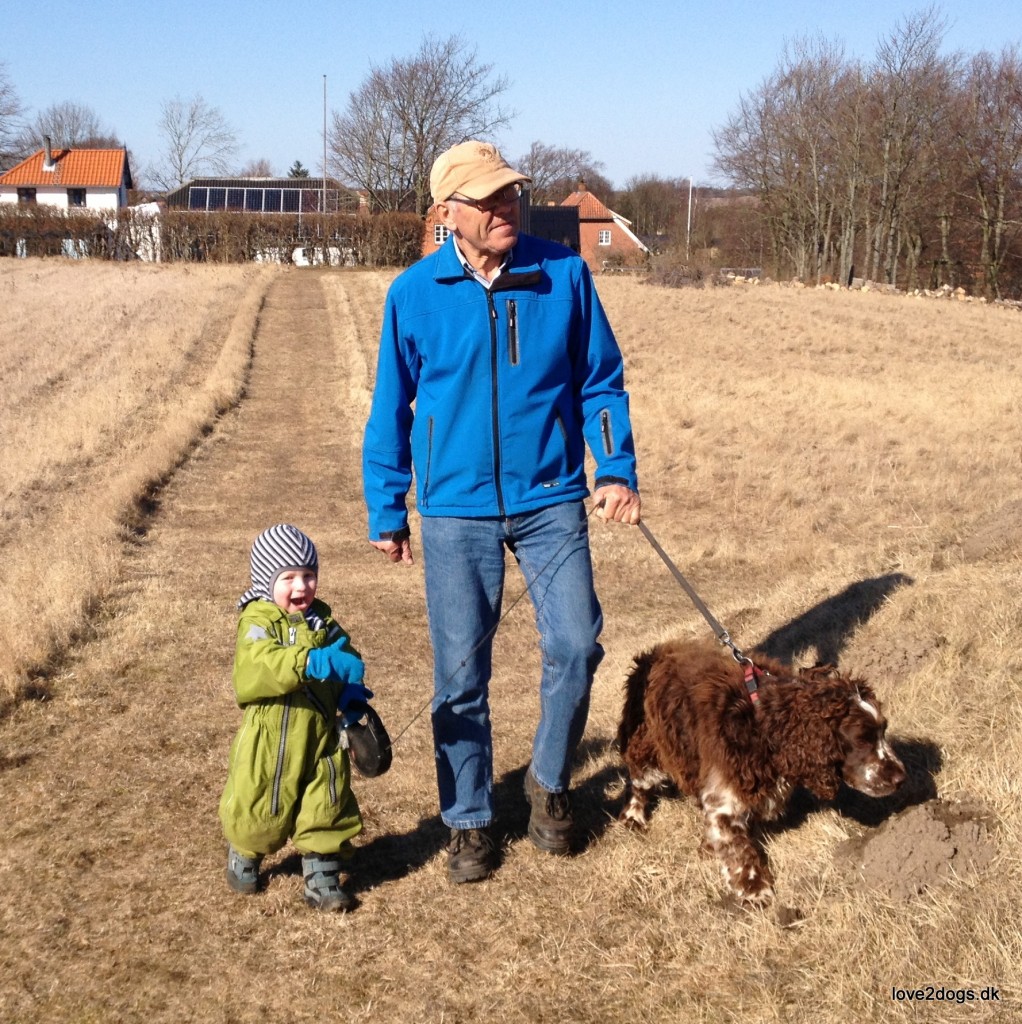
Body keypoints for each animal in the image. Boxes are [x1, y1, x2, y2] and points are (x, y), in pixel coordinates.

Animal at [614, 638, 905, 905]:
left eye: (884, 730)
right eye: (862, 740)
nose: (901, 777)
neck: (763, 722)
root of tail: (650, 655)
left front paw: (710, 847)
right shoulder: (724, 796)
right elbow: (738, 847)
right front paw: (754, 888)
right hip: (646, 746)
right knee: (638, 781)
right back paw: (633, 817)